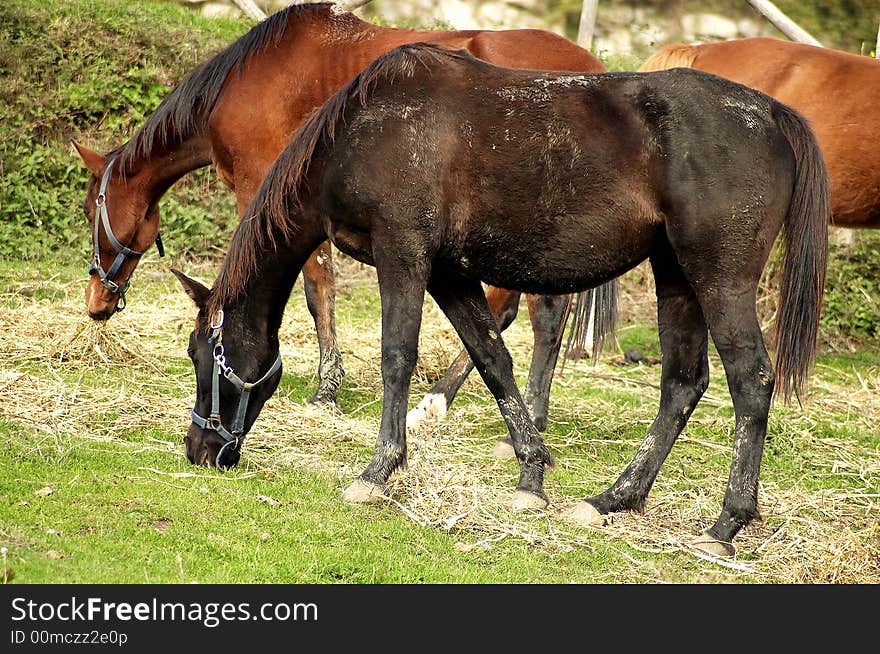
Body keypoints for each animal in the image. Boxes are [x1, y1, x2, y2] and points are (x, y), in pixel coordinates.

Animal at [75, 3, 608, 416]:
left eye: (87, 211)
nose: (96, 302)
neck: (245, 84)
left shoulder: (264, 191)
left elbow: (315, 289)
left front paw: (326, 386)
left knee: (524, 311)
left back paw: (451, 402)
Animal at [175, 44, 828, 560]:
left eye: (202, 355)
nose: (199, 450)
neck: (367, 131)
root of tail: (774, 115)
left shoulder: (403, 254)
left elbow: (398, 357)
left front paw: (379, 471)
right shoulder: (449, 275)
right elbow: (493, 362)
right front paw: (531, 478)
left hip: (719, 279)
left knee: (750, 381)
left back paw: (724, 526)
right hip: (676, 278)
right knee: (682, 384)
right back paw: (613, 500)